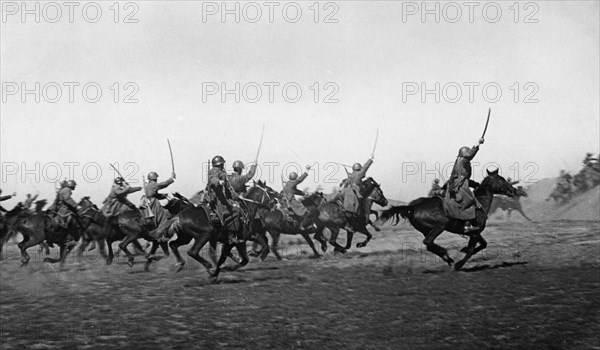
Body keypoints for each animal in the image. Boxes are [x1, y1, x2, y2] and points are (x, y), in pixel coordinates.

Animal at [380, 169, 516, 270]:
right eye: (502, 179)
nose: (513, 190)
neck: (479, 204)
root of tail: (414, 207)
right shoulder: (475, 234)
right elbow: (471, 250)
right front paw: (459, 264)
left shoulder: (475, 232)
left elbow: (483, 244)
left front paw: (462, 250)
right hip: (439, 226)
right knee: (428, 242)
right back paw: (447, 256)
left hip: (426, 229)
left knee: (429, 244)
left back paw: (447, 258)